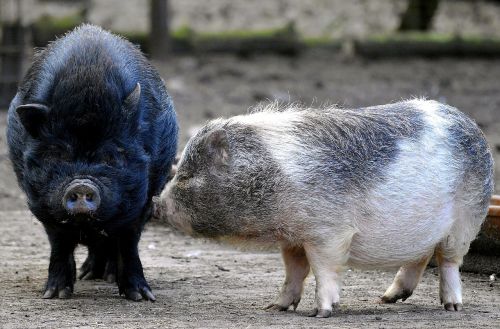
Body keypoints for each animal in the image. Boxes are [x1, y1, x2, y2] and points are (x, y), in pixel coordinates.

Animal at [6, 24, 178, 302]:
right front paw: (54, 295)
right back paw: (88, 276)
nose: (81, 185)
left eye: (110, 155)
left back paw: (105, 277)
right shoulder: (41, 202)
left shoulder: (141, 200)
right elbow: (60, 244)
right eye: (59, 153)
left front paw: (141, 297)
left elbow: (128, 243)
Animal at [155, 98, 492, 316]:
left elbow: (323, 268)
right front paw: (275, 307)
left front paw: (321, 312)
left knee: (448, 261)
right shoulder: (292, 238)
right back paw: (386, 300)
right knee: (420, 257)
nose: (156, 204)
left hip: (466, 219)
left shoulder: (328, 232)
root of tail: (471, 125)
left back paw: (452, 307)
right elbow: (294, 271)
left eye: (186, 176)